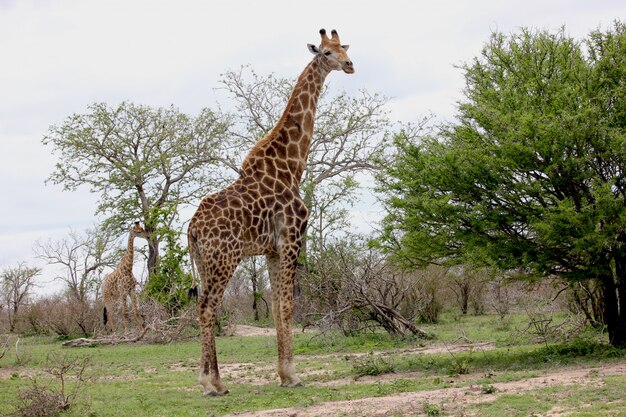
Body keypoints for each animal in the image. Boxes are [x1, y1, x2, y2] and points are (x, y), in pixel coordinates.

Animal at [186, 28, 352, 394]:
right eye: (327, 53)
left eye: (345, 48)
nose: (350, 65)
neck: (292, 166)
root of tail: (191, 228)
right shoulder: (291, 239)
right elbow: (288, 305)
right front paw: (293, 375)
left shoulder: (271, 250)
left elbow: (276, 307)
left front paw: (283, 374)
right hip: (225, 258)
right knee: (207, 307)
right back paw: (210, 384)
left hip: (205, 262)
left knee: (205, 307)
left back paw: (215, 380)